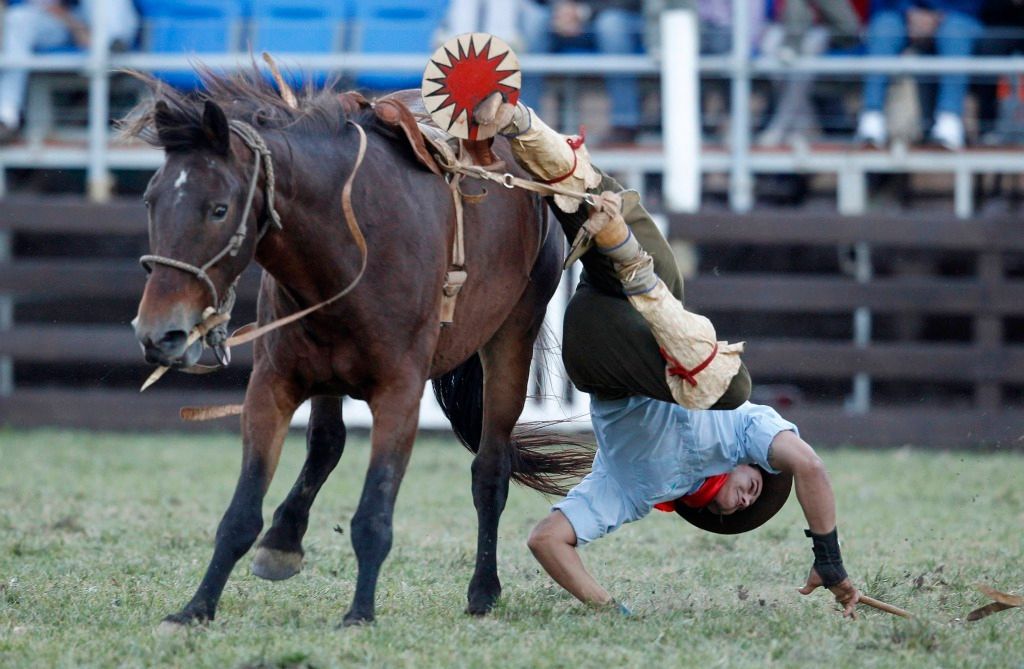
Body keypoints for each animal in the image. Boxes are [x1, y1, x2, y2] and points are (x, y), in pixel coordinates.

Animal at [125, 70, 593, 626]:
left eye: (219, 208)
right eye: (150, 201)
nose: (159, 333)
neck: (351, 240)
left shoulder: (399, 393)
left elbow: (374, 512)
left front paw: (360, 613)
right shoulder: (272, 385)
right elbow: (241, 512)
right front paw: (196, 607)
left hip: (512, 336)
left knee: (490, 470)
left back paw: (483, 589)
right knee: (326, 443)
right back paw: (283, 540)